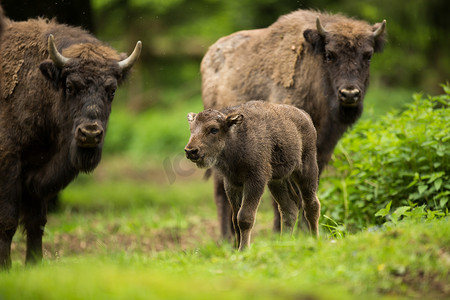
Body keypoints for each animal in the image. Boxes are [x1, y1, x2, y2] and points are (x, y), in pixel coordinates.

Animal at [0, 13, 141, 270]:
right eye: (69, 86)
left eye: (112, 90)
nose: (90, 133)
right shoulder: (9, 162)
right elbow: (7, 221)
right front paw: (6, 267)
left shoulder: (37, 174)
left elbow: (36, 223)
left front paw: (34, 264)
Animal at [185, 101, 320, 251]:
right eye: (192, 129)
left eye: (214, 129)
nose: (191, 151)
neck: (234, 137)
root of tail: (305, 115)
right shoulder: (232, 184)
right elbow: (235, 219)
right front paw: (237, 250)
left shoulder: (255, 181)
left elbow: (244, 217)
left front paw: (244, 249)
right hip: (277, 181)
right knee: (289, 209)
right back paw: (282, 244)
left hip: (306, 169)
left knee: (311, 205)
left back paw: (314, 239)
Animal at [201, 9, 386, 239]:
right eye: (329, 54)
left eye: (368, 55)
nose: (349, 94)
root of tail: (210, 55)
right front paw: (279, 233)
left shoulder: (319, 151)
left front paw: (303, 232)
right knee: (220, 192)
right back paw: (226, 239)